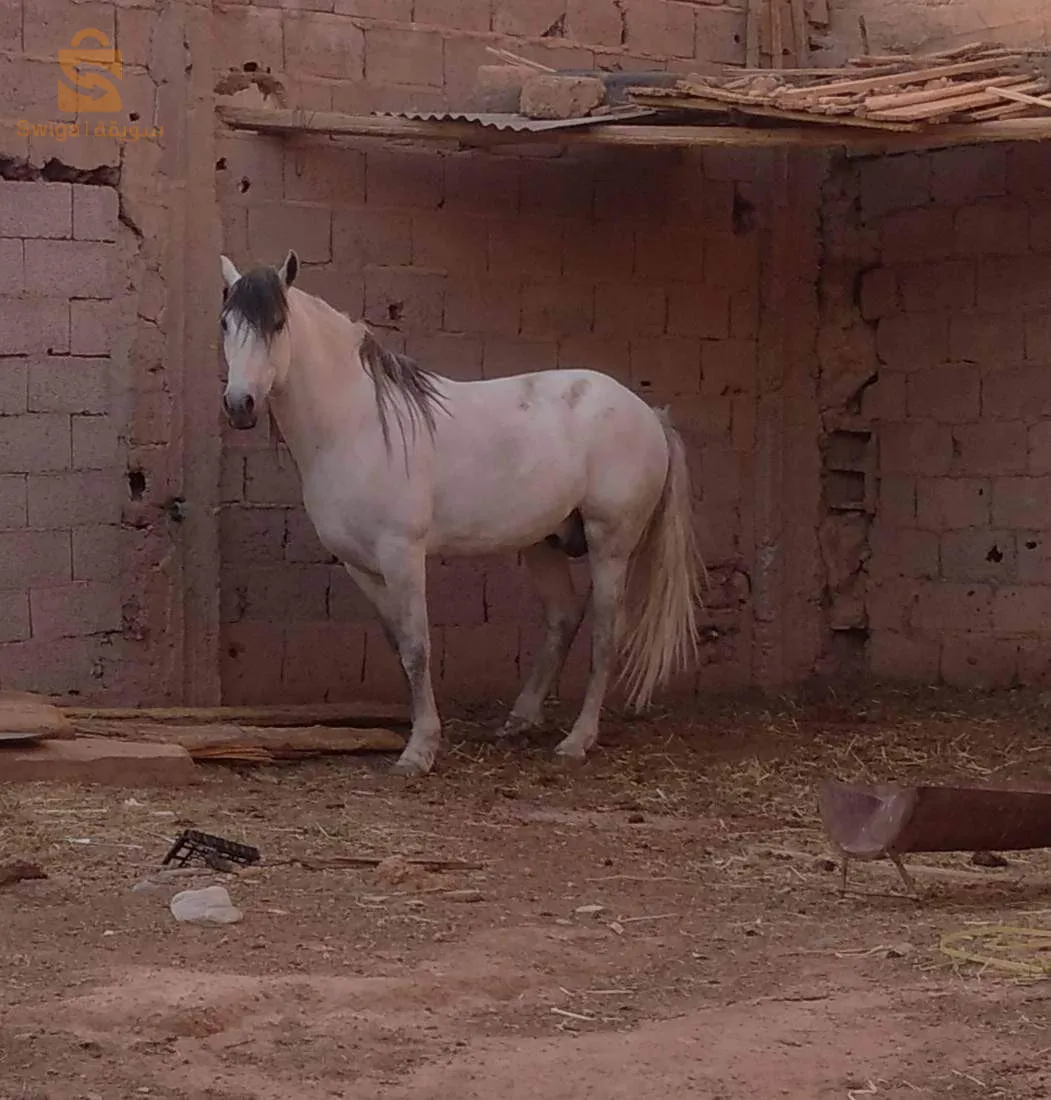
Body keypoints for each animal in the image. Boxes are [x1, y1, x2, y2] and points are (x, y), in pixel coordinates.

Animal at [219, 249, 706, 777]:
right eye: (225, 323)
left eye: (278, 323)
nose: (239, 404)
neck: (357, 422)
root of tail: (647, 413)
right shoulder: (360, 566)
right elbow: (398, 645)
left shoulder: (403, 555)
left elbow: (417, 648)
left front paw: (420, 751)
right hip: (543, 543)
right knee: (563, 618)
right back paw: (520, 720)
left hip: (609, 543)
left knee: (603, 635)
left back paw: (577, 740)